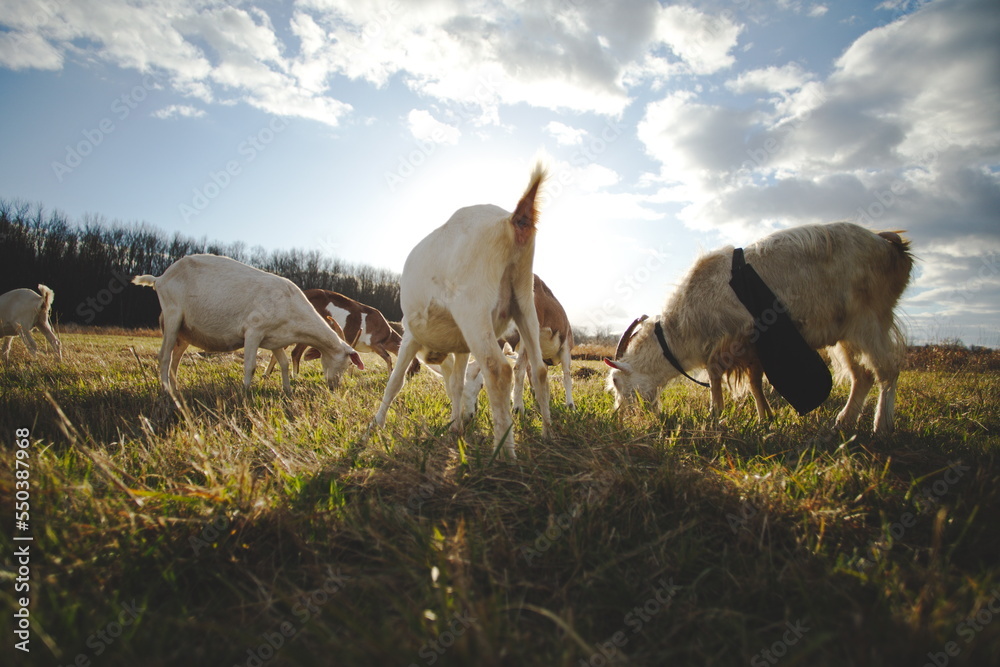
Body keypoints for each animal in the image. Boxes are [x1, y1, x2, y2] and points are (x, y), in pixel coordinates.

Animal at [132, 254, 363, 395]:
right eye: (347, 363)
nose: (334, 386)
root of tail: (159, 279)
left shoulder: (275, 339)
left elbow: (284, 364)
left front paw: (287, 390)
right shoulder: (254, 331)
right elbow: (250, 366)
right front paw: (245, 392)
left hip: (184, 332)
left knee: (175, 359)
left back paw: (176, 389)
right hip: (172, 315)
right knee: (164, 356)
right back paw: (166, 391)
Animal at [373, 163, 551, 459]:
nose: (470, 417)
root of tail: (515, 219)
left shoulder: (411, 335)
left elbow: (395, 382)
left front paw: (374, 426)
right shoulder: (461, 346)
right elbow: (455, 385)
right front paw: (456, 426)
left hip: (473, 305)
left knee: (498, 369)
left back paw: (505, 453)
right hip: (524, 298)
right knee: (539, 369)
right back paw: (549, 434)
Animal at [605, 222, 912, 435]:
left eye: (616, 381)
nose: (620, 415)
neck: (683, 327)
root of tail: (891, 243)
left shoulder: (728, 341)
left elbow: (716, 378)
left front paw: (715, 415)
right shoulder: (752, 349)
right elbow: (755, 383)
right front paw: (766, 417)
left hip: (868, 319)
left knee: (887, 369)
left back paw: (882, 426)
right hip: (847, 332)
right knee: (863, 376)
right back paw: (843, 422)